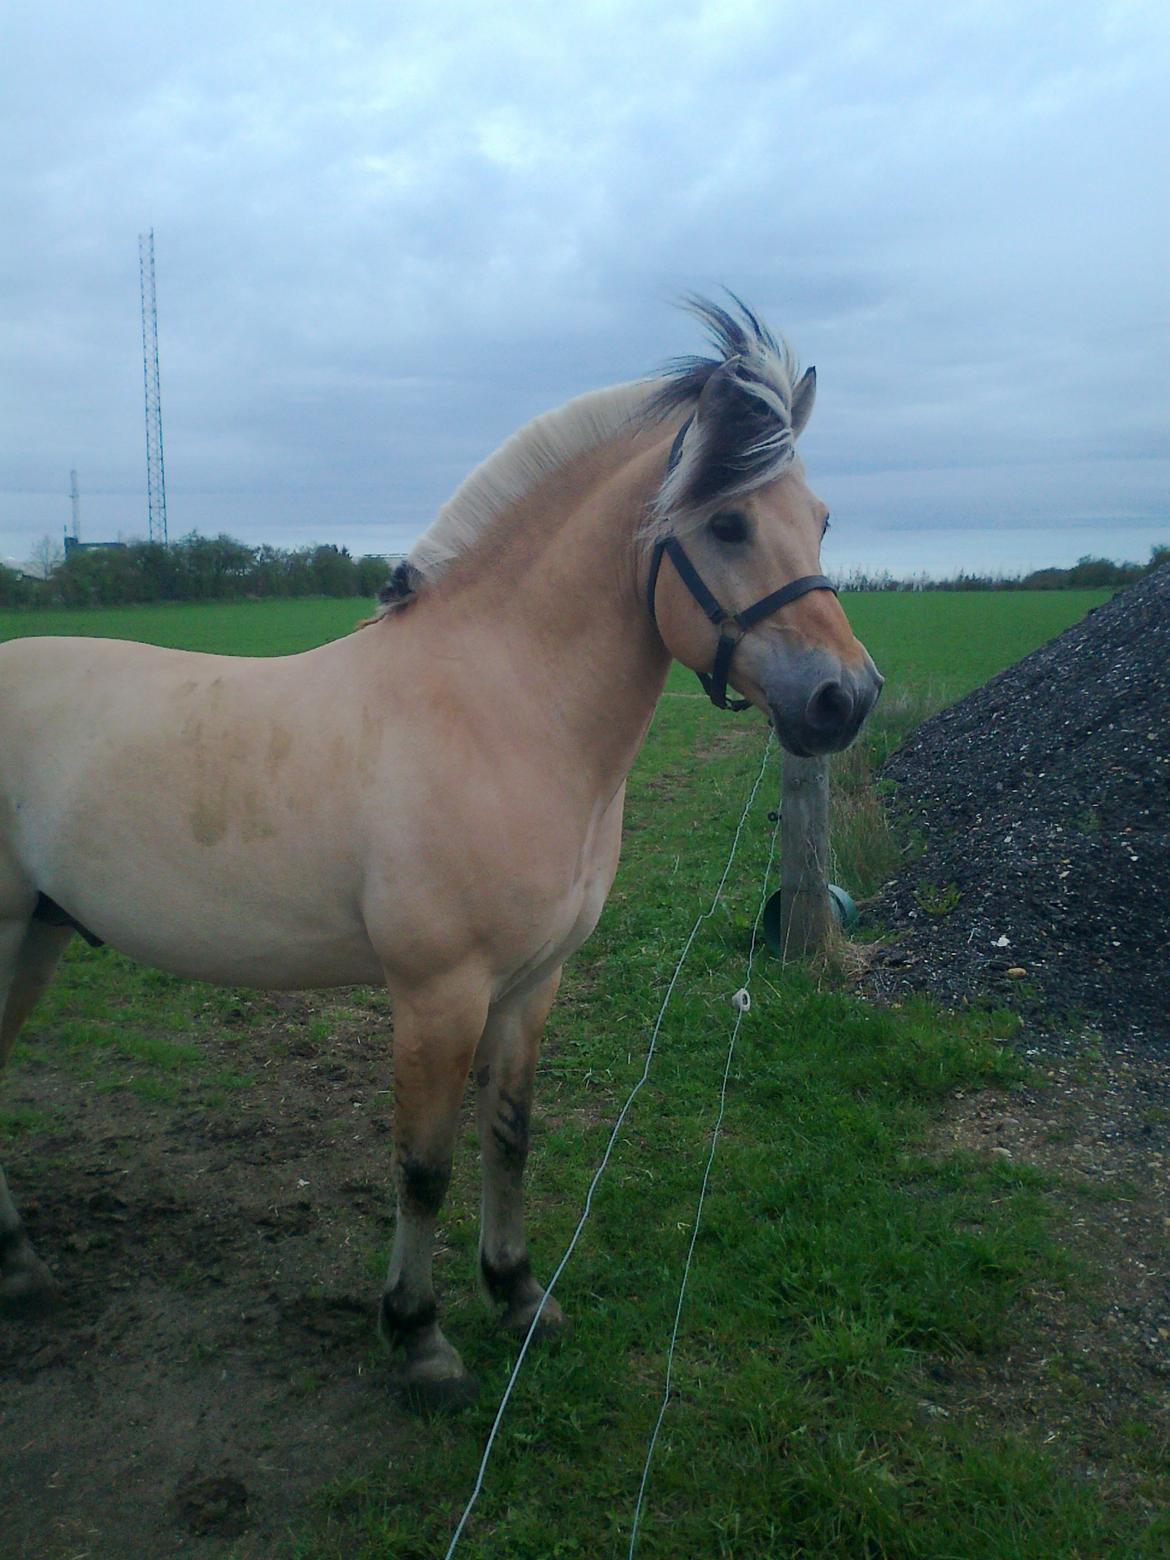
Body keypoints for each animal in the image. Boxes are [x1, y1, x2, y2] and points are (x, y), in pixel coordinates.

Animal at [0, 297, 879, 1410]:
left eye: (820, 519)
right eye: (727, 524)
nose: (845, 699)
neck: (498, 708)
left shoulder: (532, 983)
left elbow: (510, 1135)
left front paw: (518, 1295)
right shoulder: (437, 992)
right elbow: (423, 1165)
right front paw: (418, 1337)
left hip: (37, 937)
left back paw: (23, 1270)